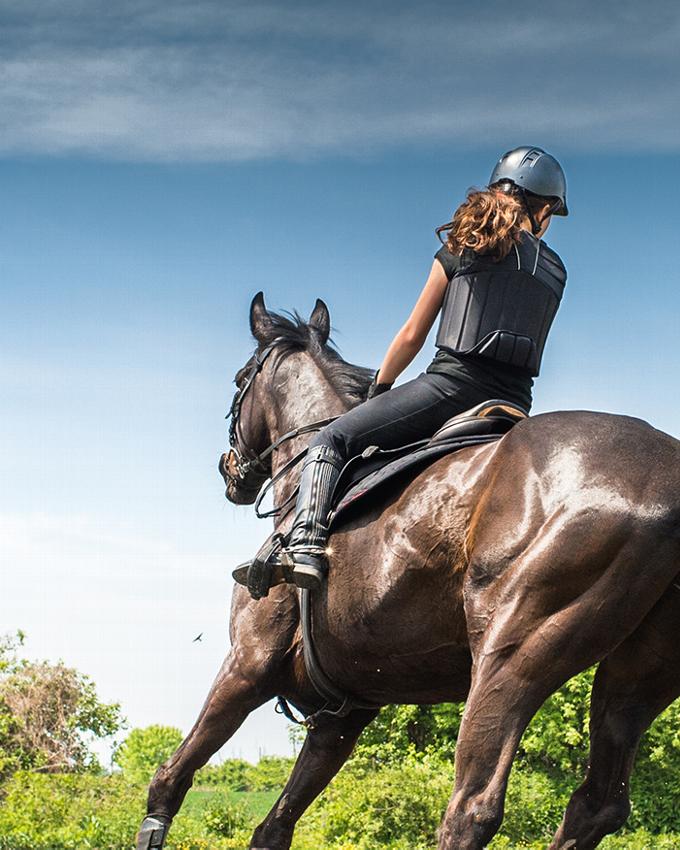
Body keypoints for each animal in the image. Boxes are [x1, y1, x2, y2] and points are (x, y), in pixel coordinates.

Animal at [135, 294, 680, 848]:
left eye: (240, 378)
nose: (230, 470)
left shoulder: (247, 666)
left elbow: (169, 782)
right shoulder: (345, 715)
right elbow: (275, 827)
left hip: (512, 654)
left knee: (473, 806)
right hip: (640, 677)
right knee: (599, 804)